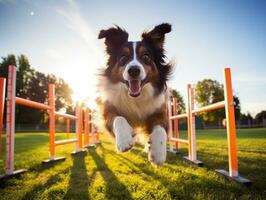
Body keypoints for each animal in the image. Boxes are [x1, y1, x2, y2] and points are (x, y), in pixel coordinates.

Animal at [97, 23, 172, 166]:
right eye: (123, 58)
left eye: (146, 57)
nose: (133, 70)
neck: (135, 98)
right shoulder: (108, 109)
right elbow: (118, 118)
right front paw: (124, 139)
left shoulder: (159, 110)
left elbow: (160, 129)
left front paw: (158, 153)